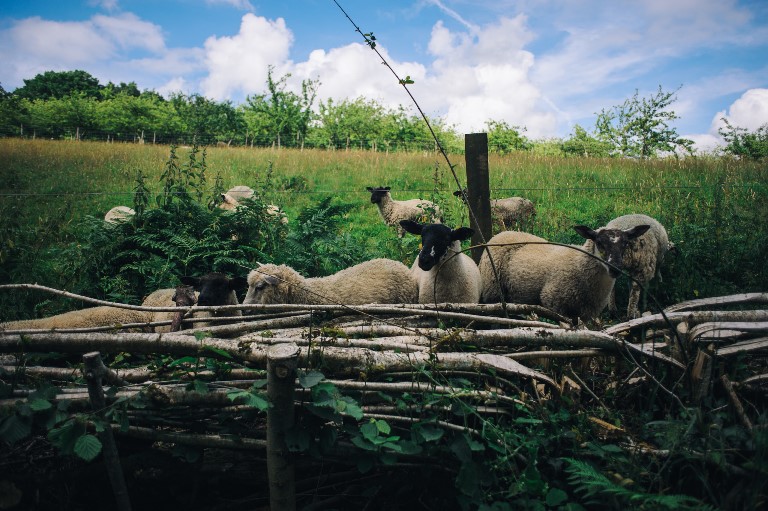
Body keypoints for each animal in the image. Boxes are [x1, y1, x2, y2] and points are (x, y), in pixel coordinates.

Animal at [476, 225, 652, 324]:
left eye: (625, 244)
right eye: (599, 243)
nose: (615, 268)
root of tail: (502, 233)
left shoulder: (586, 313)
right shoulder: (555, 304)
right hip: (493, 291)